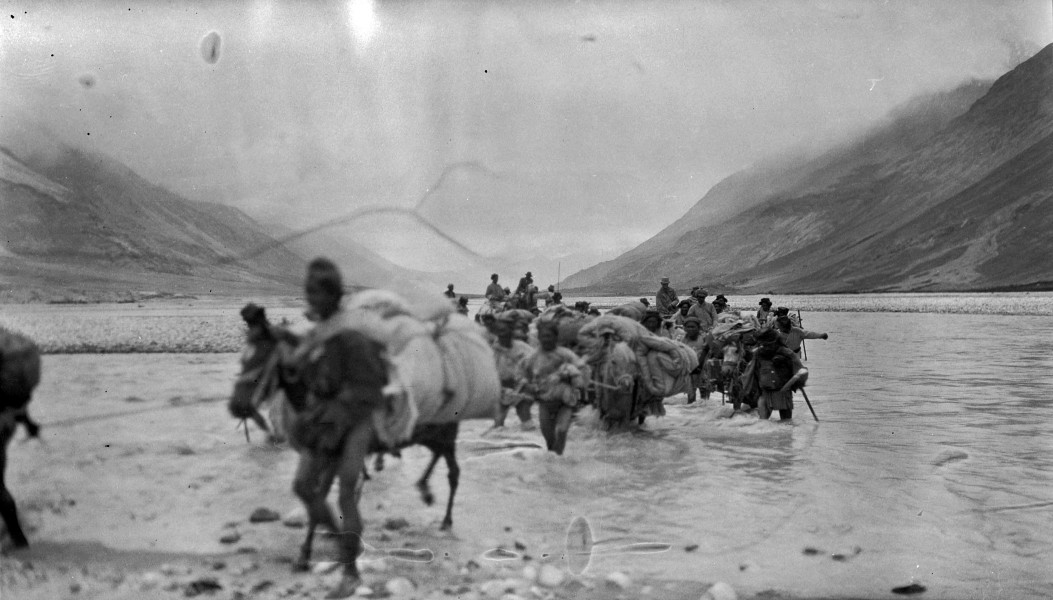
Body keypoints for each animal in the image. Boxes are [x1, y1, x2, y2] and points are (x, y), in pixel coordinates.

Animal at [228, 306, 462, 598]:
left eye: (261, 358)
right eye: (243, 358)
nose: (236, 406)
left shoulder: (336, 455)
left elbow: (322, 497)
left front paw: (342, 548)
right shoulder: (320, 455)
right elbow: (313, 497)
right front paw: (309, 552)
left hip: (446, 436)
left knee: (453, 473)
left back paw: (445, 518)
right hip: (430, 437)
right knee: (437, 457)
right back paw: (424, 488)